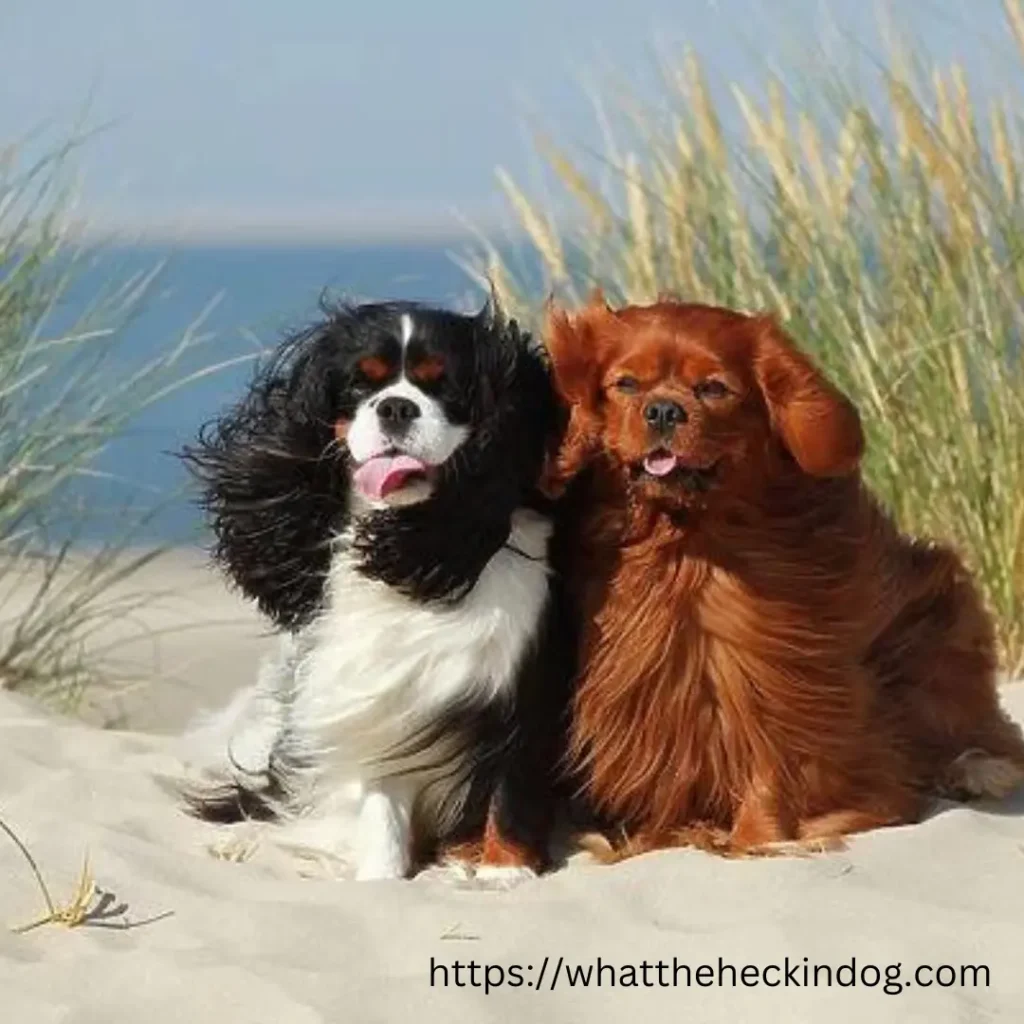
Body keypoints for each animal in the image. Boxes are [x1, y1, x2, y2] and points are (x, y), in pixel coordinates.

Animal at [183, 296, 569, 880]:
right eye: (360, 384)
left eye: (444, 386)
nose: (396, 408)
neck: (405, 541)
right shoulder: (383, 698)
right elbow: (381, 804)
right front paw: (379, 878)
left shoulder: (526, 689)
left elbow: (511, 786)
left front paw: (504, 873)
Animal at [548, 296, 1024, 856]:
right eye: (625, 384)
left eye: (714, 389)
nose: (664, 409)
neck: (684, 548)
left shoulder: (773, 685)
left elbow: (771, 772)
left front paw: (758, 840)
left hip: (939, 623)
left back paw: (972, 771)